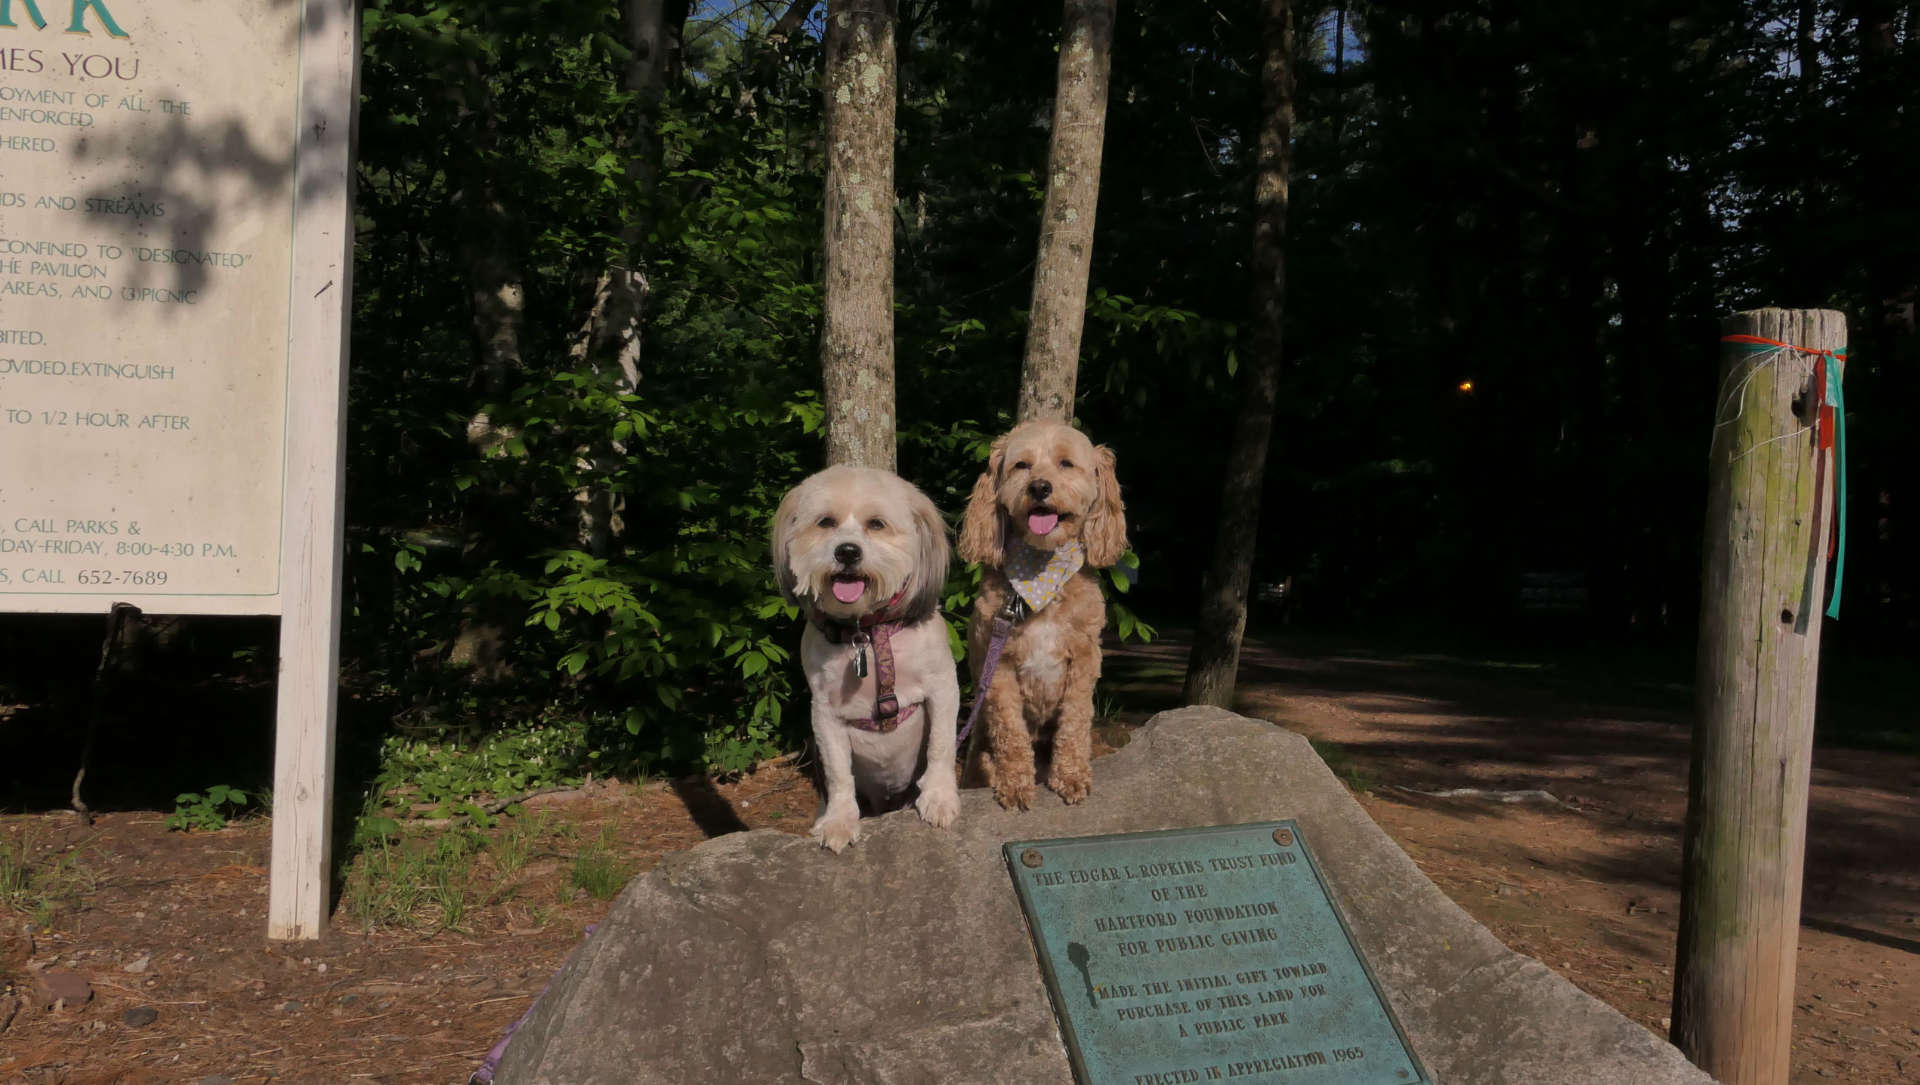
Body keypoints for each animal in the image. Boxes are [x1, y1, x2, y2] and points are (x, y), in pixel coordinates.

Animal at [771, 460, 967, 848]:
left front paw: (939, 797)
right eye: (825, 522)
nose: (847, 551)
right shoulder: (824, 712)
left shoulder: (943, 686)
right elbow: (838, 773)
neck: (868, 633)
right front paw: (839, 821)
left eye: (876, 524)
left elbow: (940, 745)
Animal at [956, 418, 1121, 806]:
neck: (1040, 570)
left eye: (1066, 464)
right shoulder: (998, 662)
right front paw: (1015, 782)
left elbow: (1075, 720)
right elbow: (1010, 729)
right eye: (1022, 465)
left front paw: (1071, 775)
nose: (1040, 487)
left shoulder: (1085, 658)